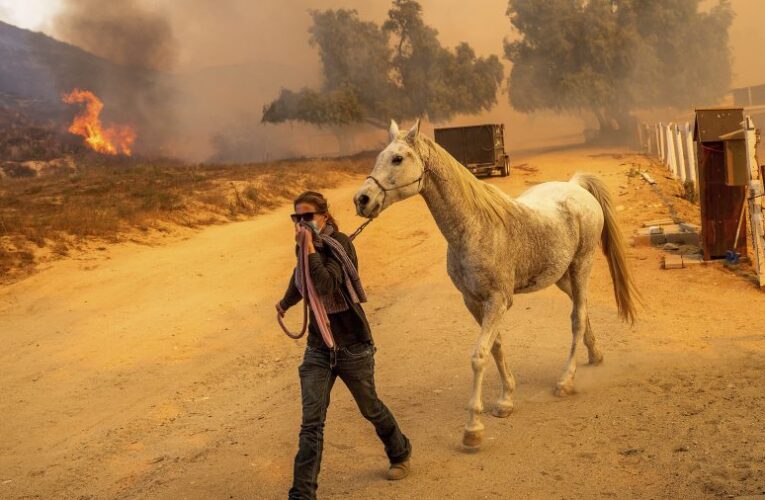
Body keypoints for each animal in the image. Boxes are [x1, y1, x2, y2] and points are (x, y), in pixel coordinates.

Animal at [354, 120, 640, 450]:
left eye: (398, 158)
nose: (362, 200)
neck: (475, 227)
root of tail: (576, 187)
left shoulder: (498, 301)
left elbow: (479, 356)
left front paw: (473, 428)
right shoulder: (474, 301)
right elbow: (497, 346)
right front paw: (506, 400)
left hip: (582, 265)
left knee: (577, 318)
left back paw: (565, 381)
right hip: (561, 276)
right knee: (582, 311)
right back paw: (595, 355)